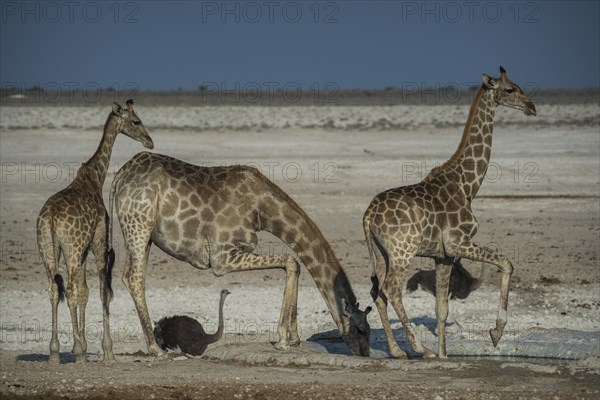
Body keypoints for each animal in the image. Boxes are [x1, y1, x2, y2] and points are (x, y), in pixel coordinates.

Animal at [36, 100, 154, 362]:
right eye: (136, 121)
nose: (149, 141)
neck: (95, 178)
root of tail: (51, 218)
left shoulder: (83, 250)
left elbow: (85, 291)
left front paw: (82, 345)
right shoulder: (98, 242)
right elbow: (101, 291)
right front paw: (105, 350)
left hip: (48, 249)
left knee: (53, 290)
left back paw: (54, 352)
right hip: (70, 248)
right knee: (69, 290)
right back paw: (77, 350)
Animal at [107, 152, 370, 356]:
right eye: (361, 329)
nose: (365, 354)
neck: (263, 210)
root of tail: (120, 176)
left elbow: (292, 262)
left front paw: (293, 337)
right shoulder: (222, 258)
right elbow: (291, 261)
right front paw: (283, 340)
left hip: (144, 234)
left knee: (127, 276)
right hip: (139, 224)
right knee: (134, 278)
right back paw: (155, 349)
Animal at [364, 67, 536, 358]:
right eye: (510, 89)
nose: (531, 106)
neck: (468, 185)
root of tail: (367, 216)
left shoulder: (442, 256)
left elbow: (441, 310)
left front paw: (445, 355)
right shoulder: (459, 244)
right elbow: (506, 262)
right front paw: (496, 333)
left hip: (381, 253)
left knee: (378, 292)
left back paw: (397, 351)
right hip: (402, 251)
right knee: (391, 288)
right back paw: (420, 349)